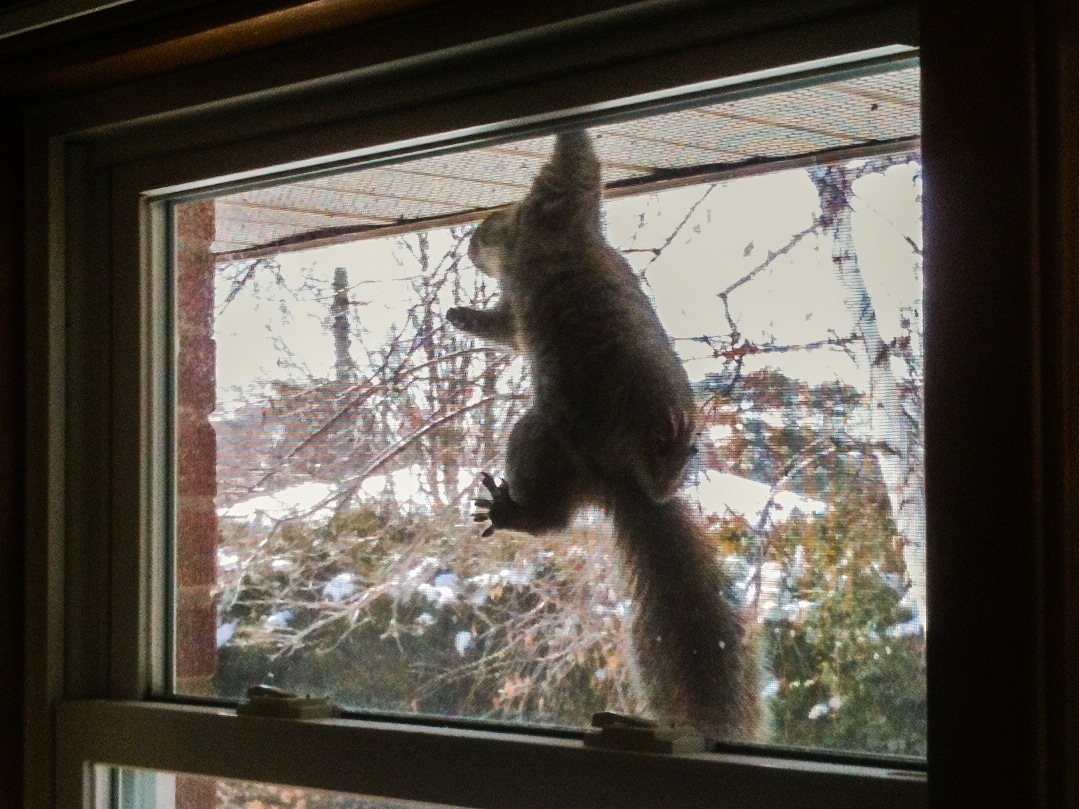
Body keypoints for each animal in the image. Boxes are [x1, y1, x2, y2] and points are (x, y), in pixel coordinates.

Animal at [446, 130, 760, 740]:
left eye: (489, 222)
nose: (469, 244)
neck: (531, 239)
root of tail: (616, 480)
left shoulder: (556, 207)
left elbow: (575, 162)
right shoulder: (522, 288)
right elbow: (503, 328)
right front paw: (460, 315)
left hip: (564, 432)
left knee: (565, 514)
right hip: (551, 441)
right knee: (560, 515)